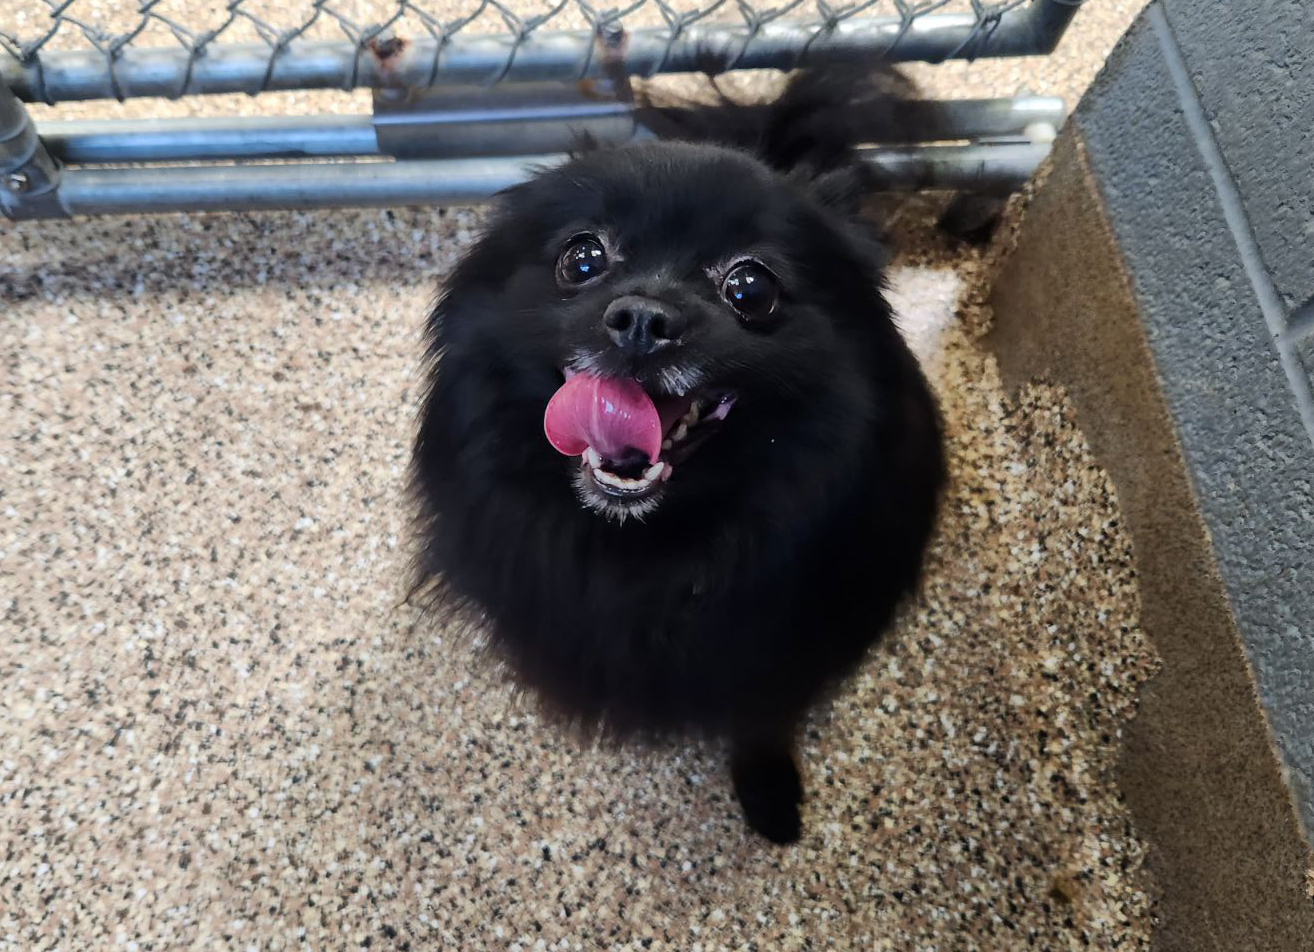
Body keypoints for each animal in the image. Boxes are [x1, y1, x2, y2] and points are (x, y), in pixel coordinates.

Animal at [409, 76, 946, 845]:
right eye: (582, 259)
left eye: (752, 288)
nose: (642, 318)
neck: (651, 552)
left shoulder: (781, 650)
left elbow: (761, 720)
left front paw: (770, 794)